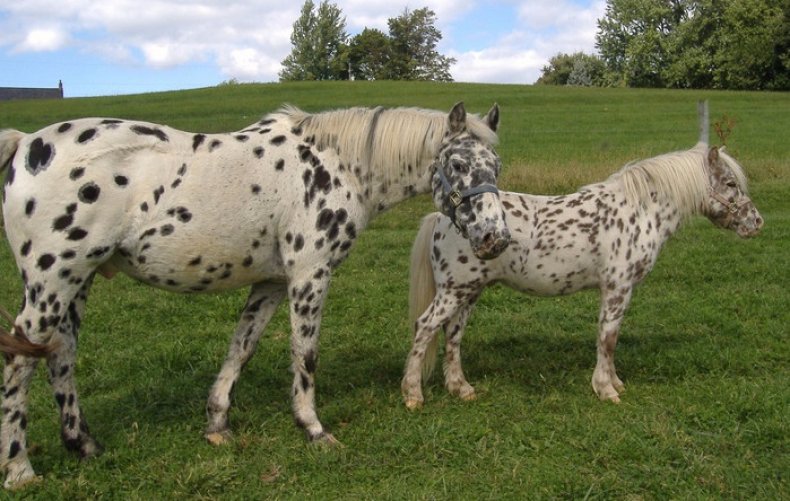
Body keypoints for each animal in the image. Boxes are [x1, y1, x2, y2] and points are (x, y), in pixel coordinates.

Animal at [406, 101, 764, 410]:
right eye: (730, 183)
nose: (756, 223)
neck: (639, 210)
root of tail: (442, 217)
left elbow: (609, 337)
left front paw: (615, 383)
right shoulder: (618, 288)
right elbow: (608, 337)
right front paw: (606, 390)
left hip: (469, 292)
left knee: (453, 334)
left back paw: (461, 388)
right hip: (454, 292)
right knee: (425, 326)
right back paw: (412, 395)